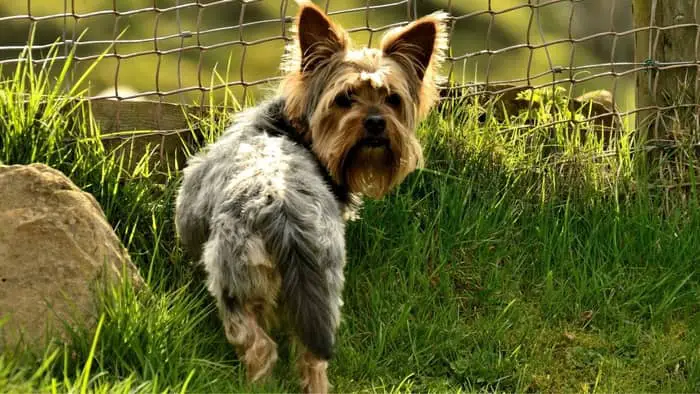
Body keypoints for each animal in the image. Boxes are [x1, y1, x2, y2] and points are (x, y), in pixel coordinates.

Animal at [175, 2, 448, 390]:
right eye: (345, 98)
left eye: (392, 99)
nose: (376, 122)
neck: (292, 128)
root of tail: (282, 212)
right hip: (320, 281)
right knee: (307, 357)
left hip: (241, 280)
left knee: (262, 347)